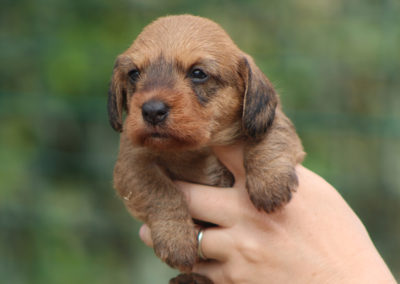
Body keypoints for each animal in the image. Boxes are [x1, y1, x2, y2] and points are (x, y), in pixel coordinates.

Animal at [108, 15, 304, 284]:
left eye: (198, 73)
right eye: (134, 73)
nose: (152, 111)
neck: (198, 147)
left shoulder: (269, 122)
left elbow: (270, 137)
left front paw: (269, 184)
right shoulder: (131, 165)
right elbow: (160, 191)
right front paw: (176, 239)